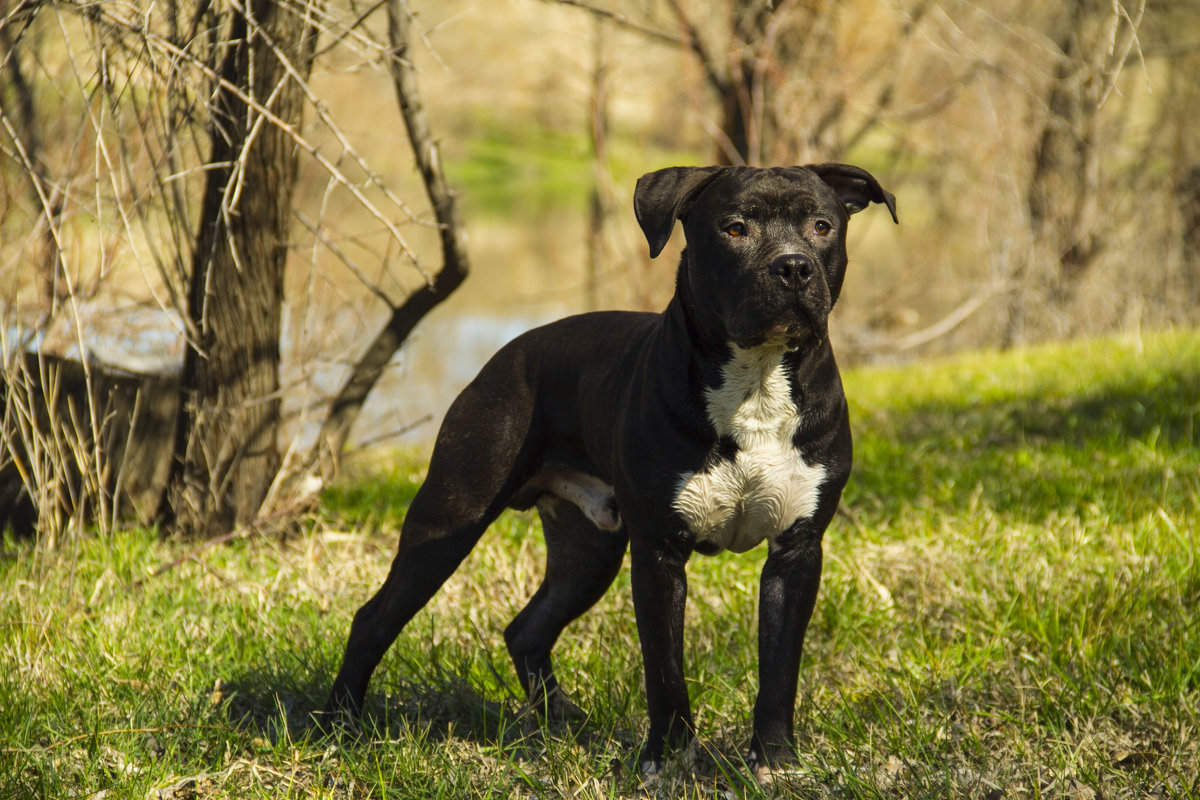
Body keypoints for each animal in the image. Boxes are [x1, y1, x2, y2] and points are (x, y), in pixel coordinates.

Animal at [324, 160, 897, 777]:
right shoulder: (658, 552)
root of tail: (507, 353)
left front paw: (775, 759)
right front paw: (669, 761)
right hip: (449, 519)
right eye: (735, 228)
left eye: (822, 226)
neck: (758, 381)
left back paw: (561, 721)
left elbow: (780, 668)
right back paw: (339, 727)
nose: (793, 265)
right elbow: (665, 672)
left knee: (527, 629)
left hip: (588, 552)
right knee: (374, 618)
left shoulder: (797, 551)